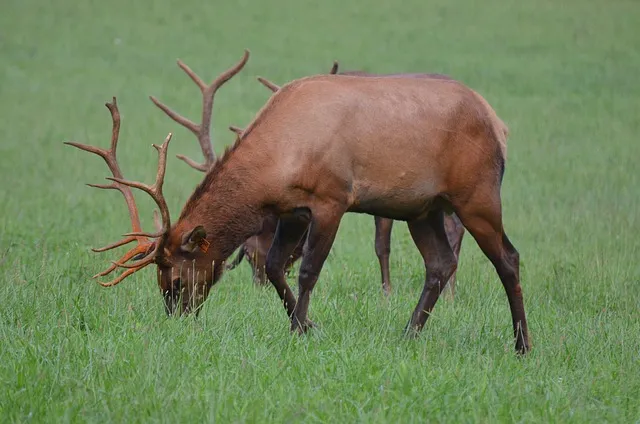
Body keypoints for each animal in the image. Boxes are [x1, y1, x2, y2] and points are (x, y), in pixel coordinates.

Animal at [67, 50, 532, 354]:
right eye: (159, 281)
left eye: (177, 280)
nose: (177, 321)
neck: (279, 164)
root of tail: (499, 124)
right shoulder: (292, 211)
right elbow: (276, 266)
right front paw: (308, 325)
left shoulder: (331, 199)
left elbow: (308, 270)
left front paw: (298, 330)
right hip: (424, 207)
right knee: (440, 263)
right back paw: (408, 334)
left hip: (477, 194)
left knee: (508, 258)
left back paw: (522, 344)